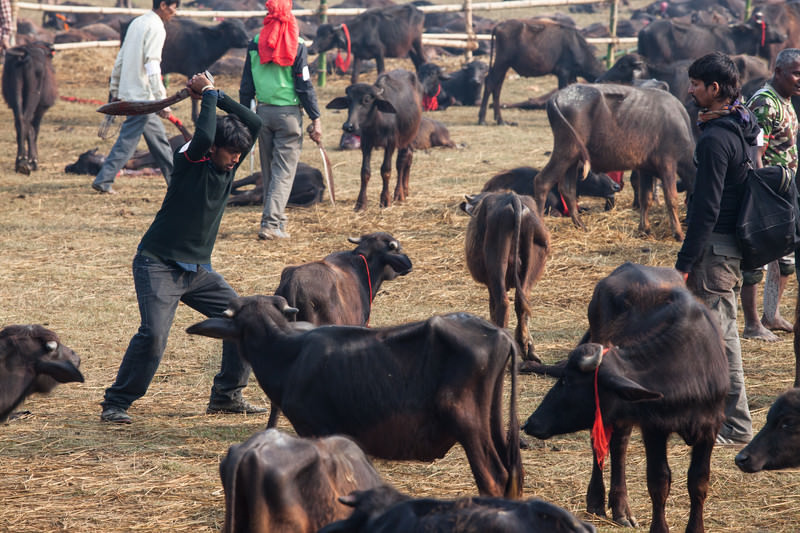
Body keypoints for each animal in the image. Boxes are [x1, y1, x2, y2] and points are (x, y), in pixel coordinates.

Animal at [188, 296, 524, 498]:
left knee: (493, 479)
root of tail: (500, 334)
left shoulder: (315, 429)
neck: (287, 353)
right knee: (512, 476)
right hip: (492, 423)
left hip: (467, 425)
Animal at [462, 191, 552, 362]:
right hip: (529, 271)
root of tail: (513, 199)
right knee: (522, 303)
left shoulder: (490, 284)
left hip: (497, 270)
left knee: (503, 304)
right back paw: (527, 347)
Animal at [524, 262, 732, 532]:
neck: (690, 371)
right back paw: (603, 503)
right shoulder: (654, 426)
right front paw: (659, 528)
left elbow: (698, 482)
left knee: (617, 444)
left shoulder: (710, 427)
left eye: (566, 381)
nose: (530, 422)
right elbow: (659, 481)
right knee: (610, 446)